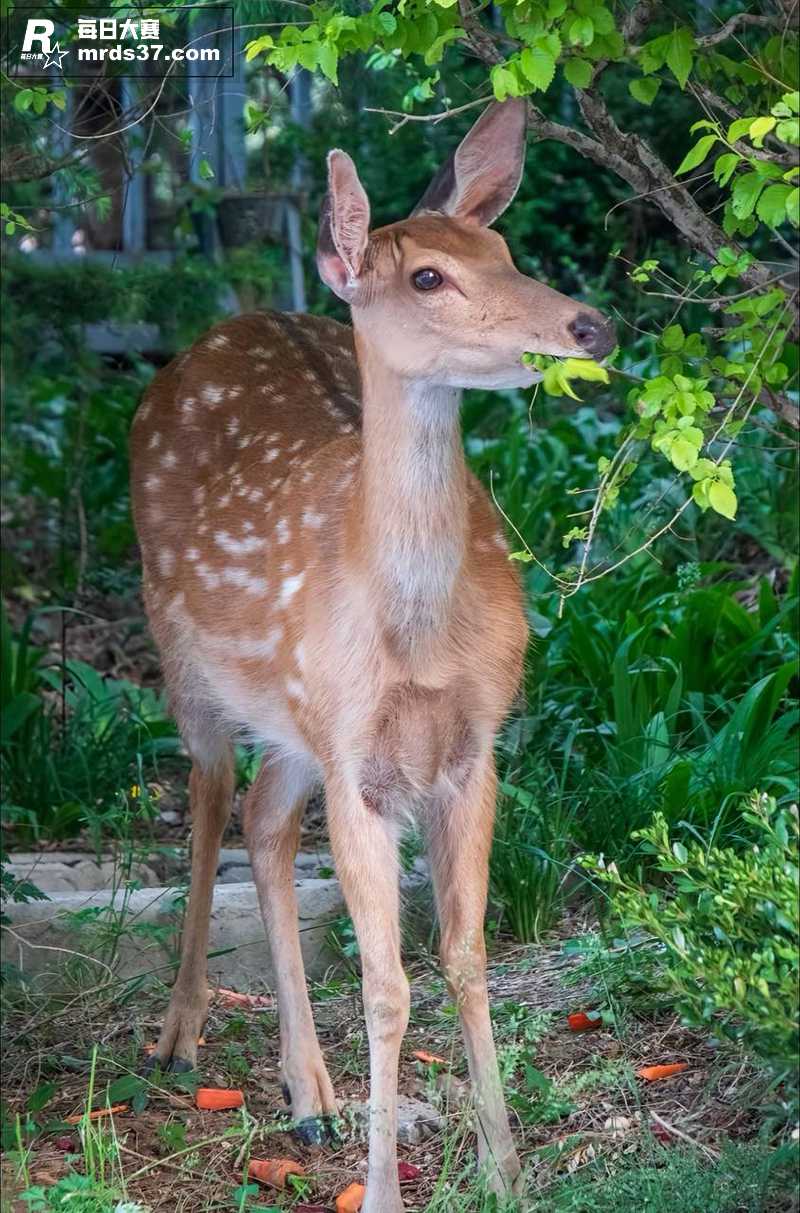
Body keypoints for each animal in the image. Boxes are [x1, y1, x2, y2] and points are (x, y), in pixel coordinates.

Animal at [130, 97, 614, 1211]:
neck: (417, 637)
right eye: (427, 277)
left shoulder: (469, 746)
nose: (589, 325)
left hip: (298, 718)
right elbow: (387, 982)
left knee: (264, 822)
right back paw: (180, 1036)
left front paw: (503, 1171)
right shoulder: (357, 759)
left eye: (502, 249)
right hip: (188, 662)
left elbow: (464, 954)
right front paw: (387, 1187)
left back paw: (308, 1093)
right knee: (209, 802)